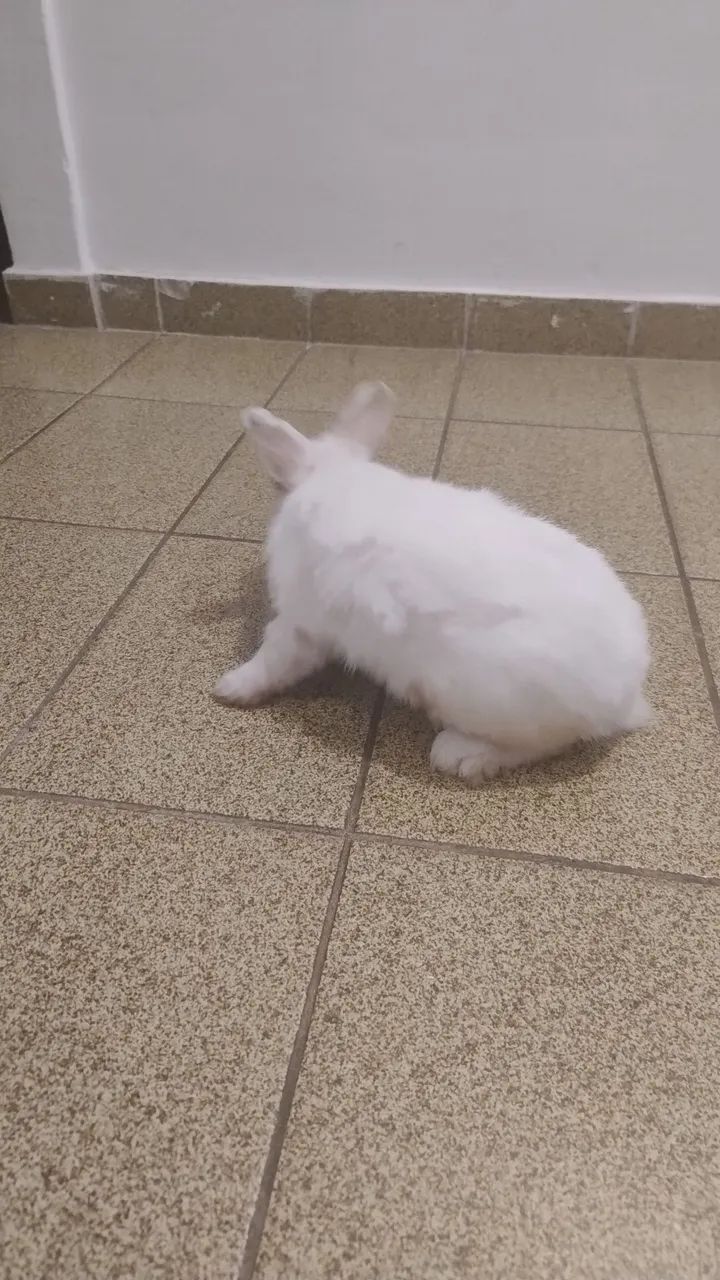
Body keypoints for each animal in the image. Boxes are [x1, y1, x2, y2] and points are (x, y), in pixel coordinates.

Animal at [213, 381, 650, 783]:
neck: (335, 474)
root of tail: (623, 699)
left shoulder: (301, 620)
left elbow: (274, 658)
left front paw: (230, 688)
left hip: (486, 700)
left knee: (540, 744)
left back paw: (459, 754)